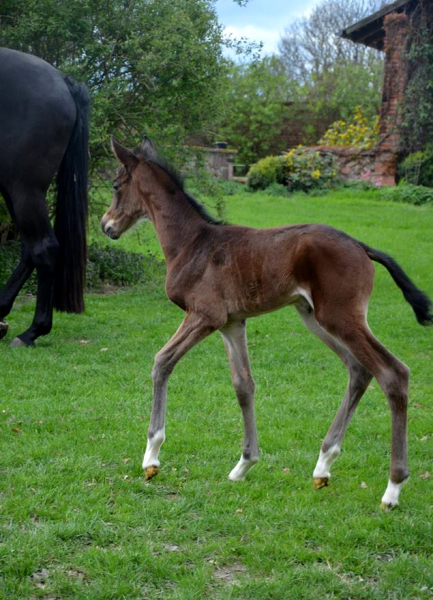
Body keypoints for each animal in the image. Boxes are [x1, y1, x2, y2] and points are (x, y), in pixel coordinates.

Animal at [102, 138, 432, 508]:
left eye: (115, 186)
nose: (106, 225)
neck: (191, 244)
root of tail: (360, 246)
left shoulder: (204, 316)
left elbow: (161, 362)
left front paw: (151, 459)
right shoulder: (232, 323)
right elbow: (243, 385)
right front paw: (244, 464)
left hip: (340, 317)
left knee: (393, 373)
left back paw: (393, 487)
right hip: (314, 317)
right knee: (359, 370)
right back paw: (323, 465)